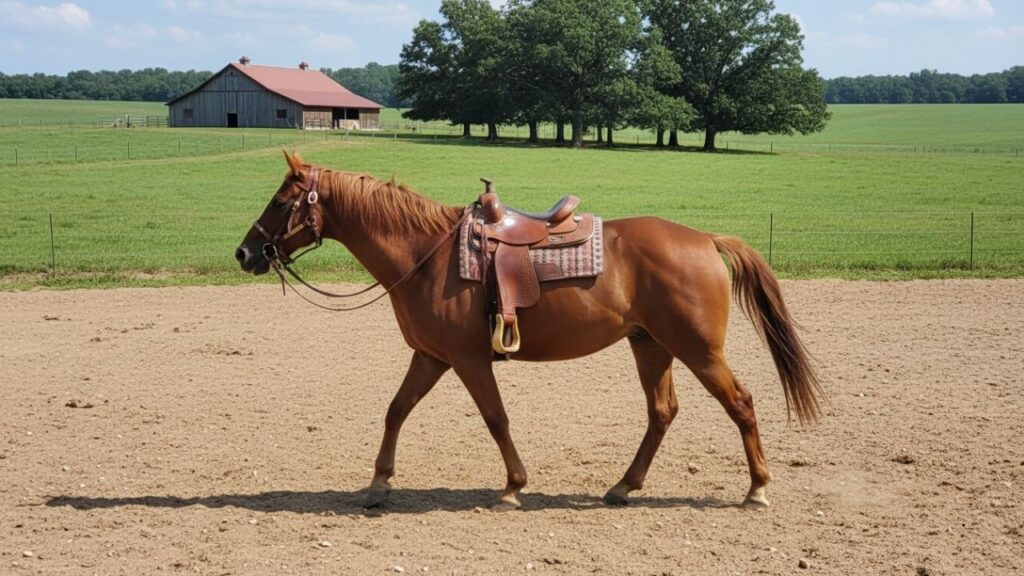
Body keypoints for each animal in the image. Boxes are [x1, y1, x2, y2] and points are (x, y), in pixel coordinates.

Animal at [234, 151, 822, 511]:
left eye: (282, 201)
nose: (244, 252)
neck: (426, 256)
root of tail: (705, 239)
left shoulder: (467, 360)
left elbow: (496, 418)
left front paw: (513, 488)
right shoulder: (431, 357)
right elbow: (396, 410)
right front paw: (379, 484)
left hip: (698, 350)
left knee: (741, 404)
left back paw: (756, 490)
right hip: (651, 346)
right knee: (662, 412)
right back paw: (623, 486)